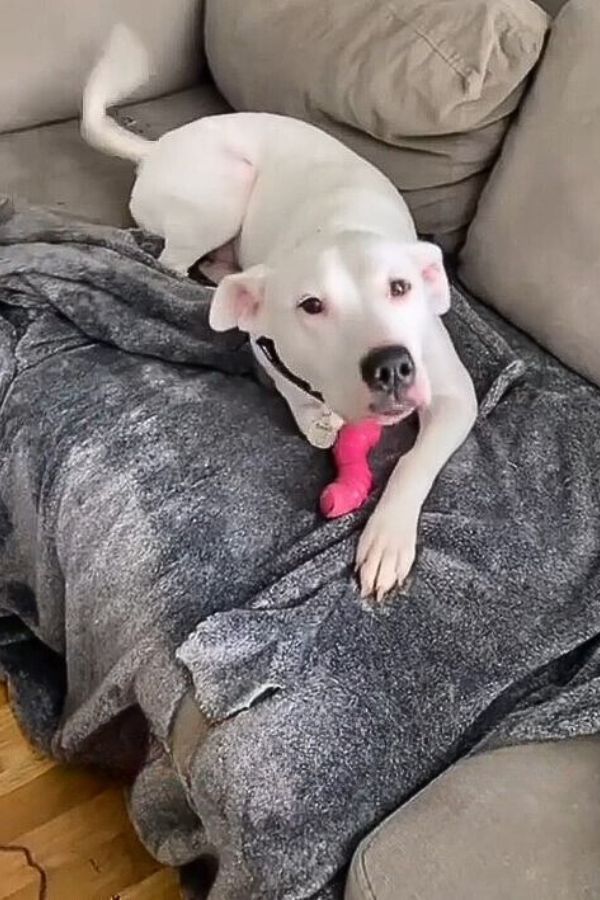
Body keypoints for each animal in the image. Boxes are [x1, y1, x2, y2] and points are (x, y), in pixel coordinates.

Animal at [82, 26, 476, 596]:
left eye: (400, 288)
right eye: (311, 306)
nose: (391, 366)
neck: (338, 225)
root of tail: (159, 147)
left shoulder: (454, 394)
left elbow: (414, 461)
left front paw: (388, 540)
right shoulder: (265, 343)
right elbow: (291, 386)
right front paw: (316, 418)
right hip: (225, 187)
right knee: (172, 263)